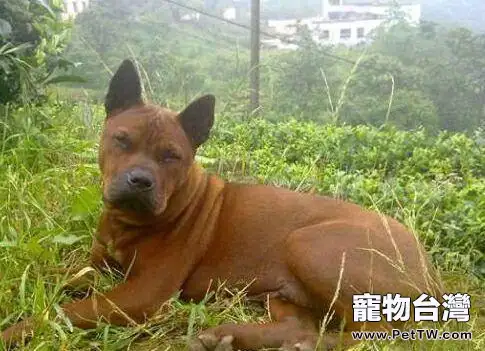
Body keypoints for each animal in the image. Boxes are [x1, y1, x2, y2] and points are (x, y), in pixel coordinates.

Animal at [0, 59, 442, 350]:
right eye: (122, 140)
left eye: (171, 156)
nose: (140, 181)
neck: (131, 222)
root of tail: (428, 265)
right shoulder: (95, 268)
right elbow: (57, 279)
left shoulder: (141, 294)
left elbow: (66, 311)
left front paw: (17, 330)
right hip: (285, 291)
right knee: (301, 327)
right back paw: (231, 337)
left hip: (310, 245)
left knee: (373, 334)